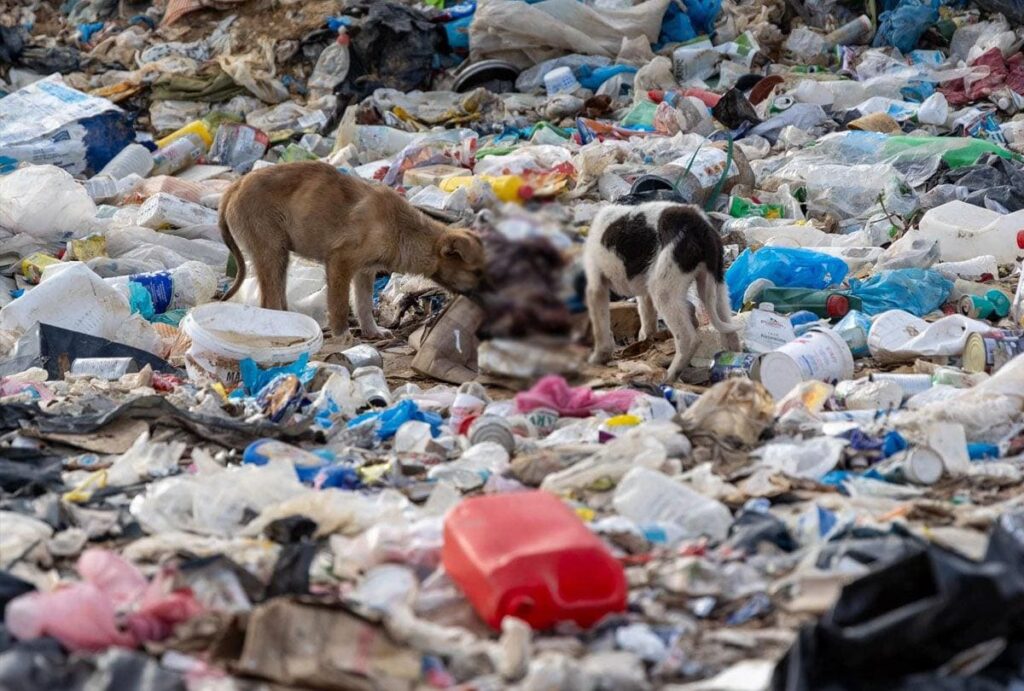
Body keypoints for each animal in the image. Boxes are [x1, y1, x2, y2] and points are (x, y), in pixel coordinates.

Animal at [219, 159, 487, 337]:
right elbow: (338, 305)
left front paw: (372, 331)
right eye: (476, 272)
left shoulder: (365, 271)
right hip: (271, 250)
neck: (403, 230)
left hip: (279, 255)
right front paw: (342, 336)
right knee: (269, 300)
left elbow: (363, 304)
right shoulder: (340, 262)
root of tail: (236, 185)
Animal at [585, 202, 745, 380]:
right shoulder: (644, 289)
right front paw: (646, 341)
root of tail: (700, 226)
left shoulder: (595, 286)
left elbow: (600, 326)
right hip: (716, 285)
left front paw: (599, 357)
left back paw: (670, 376)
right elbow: (647, 317)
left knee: (688, 339)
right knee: (730, 332)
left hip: (664, 289)